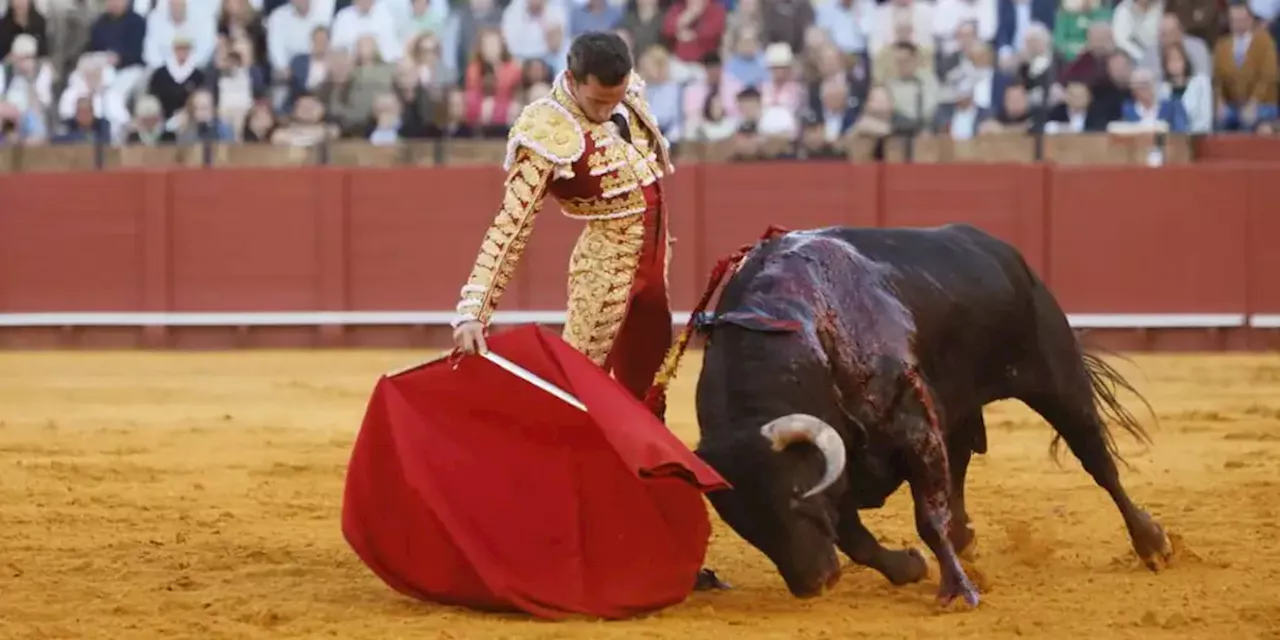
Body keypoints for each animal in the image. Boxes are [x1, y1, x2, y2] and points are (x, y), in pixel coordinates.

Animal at [691, 225, 1172, 604]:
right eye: (741, 522)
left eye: (794, 495)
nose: (814, 584)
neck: (805, 328)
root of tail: (1002, 251)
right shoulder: (845, 462)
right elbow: (854, 535)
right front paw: (909, 567)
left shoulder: (912, 428)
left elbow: (925, 517)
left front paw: (958, 591)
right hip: (957, 409)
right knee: (958, 465)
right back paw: (964, 539)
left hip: (1057, 378)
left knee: (1097, 460)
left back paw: (1152, 544)